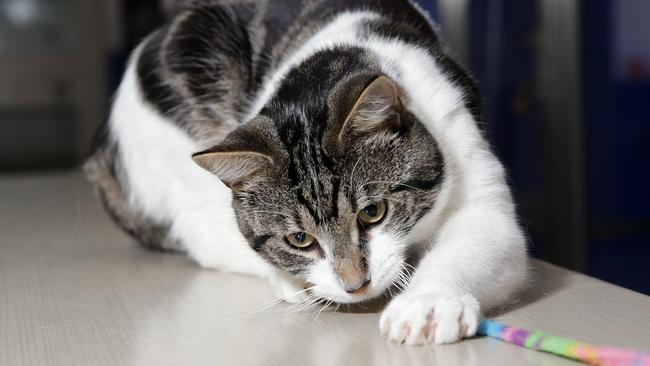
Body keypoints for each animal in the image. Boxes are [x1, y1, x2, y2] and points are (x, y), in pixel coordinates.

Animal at [83, 0, 528, 346]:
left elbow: (480, 237)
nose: (355, 284)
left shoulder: (463, 144)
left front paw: (428, 303)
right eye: (299, 239)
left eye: (373, 212)